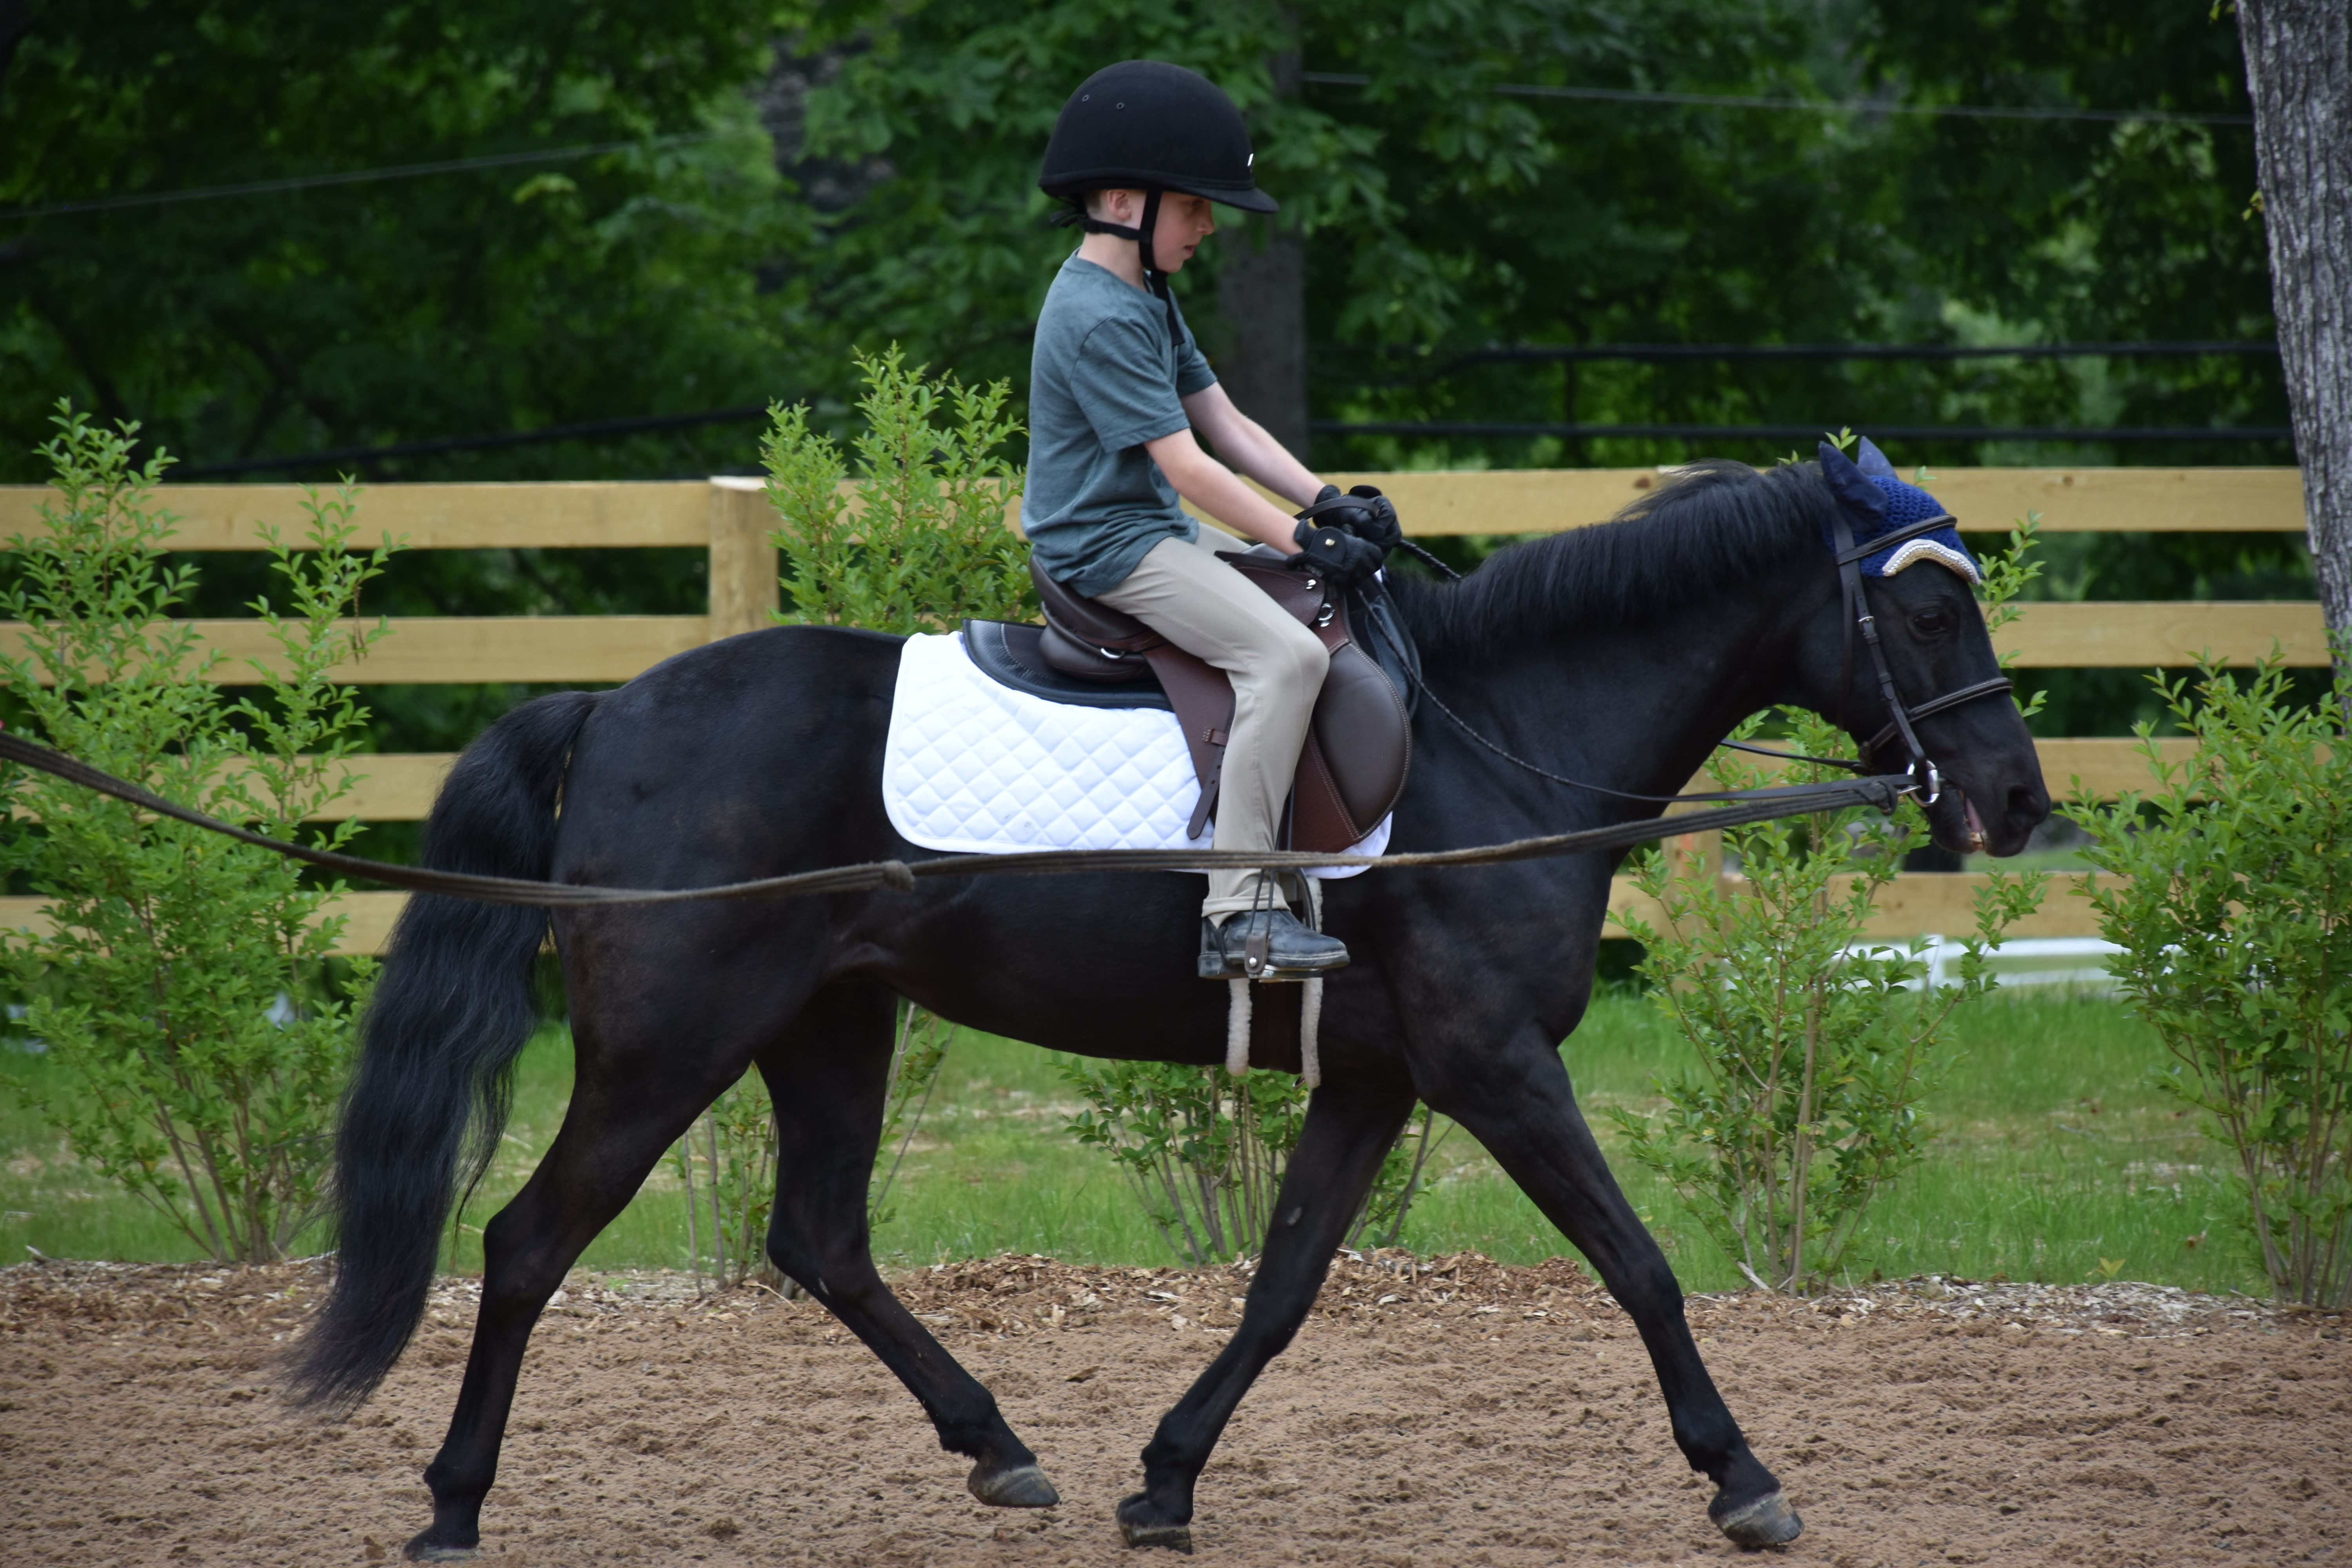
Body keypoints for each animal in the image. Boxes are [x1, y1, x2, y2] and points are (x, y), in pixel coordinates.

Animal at [288, 455, 2050, 1559]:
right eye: (1924, 611)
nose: (2017, 800)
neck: (1502, 739)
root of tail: (614, 706)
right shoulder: (1494, 1063)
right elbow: (1640, 1263)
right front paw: (1744, 1478)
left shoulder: (1377, 1078)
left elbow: (1282, 1288)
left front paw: (1167, 1479)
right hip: (668, 1048)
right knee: (527, 1243)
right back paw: (452, 1506)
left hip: (831, 1026)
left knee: (822, 1240)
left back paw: (1000, 1448)